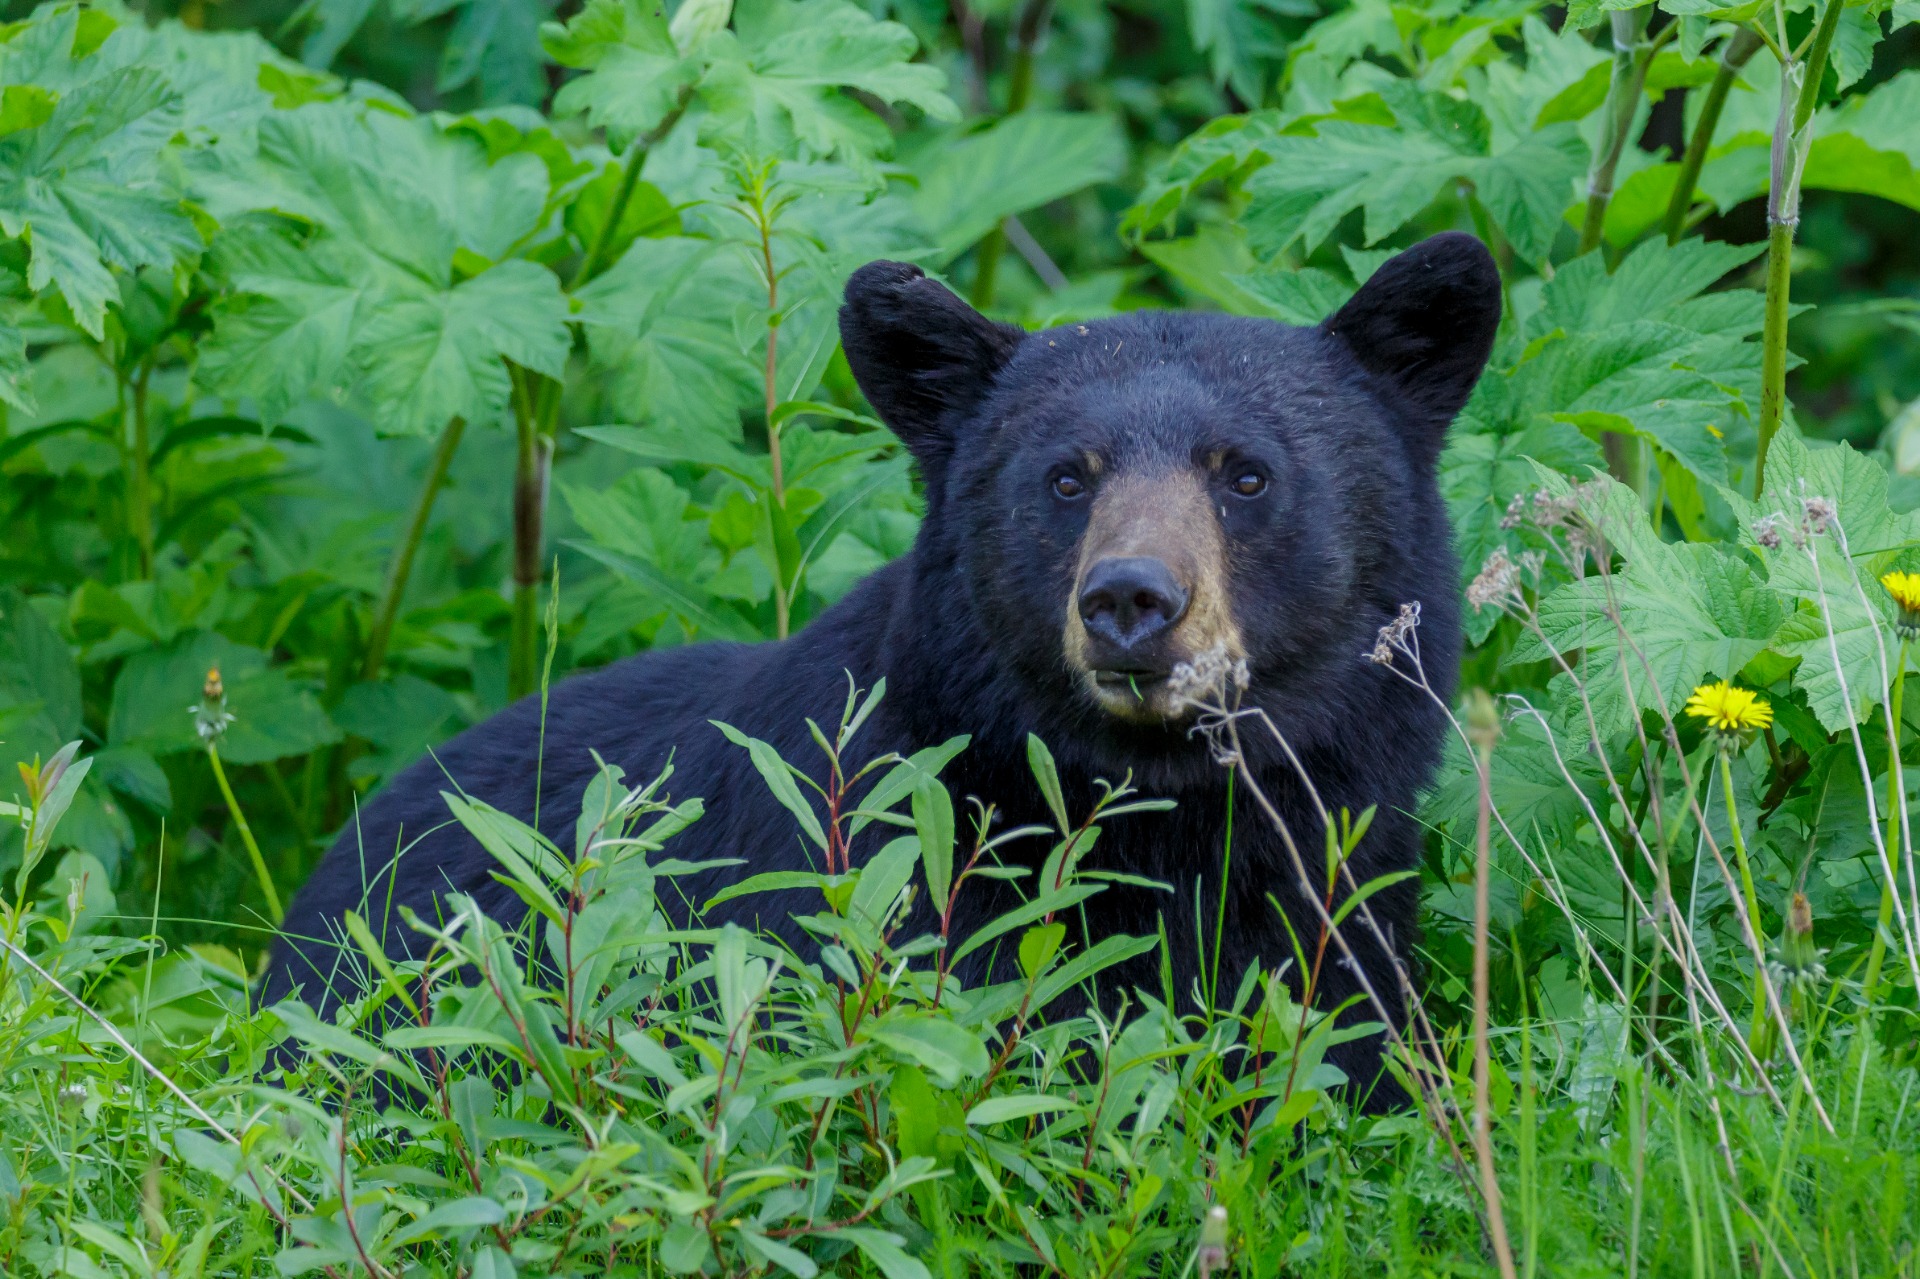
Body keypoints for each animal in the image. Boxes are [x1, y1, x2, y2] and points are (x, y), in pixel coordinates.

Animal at [266, 226, 1497, 1098]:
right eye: (1066, 476)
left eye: (1245, 473)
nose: (1132, 600)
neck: (1161, 814)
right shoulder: (888, 879)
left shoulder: (1343, 890)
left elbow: (1354, 1050)